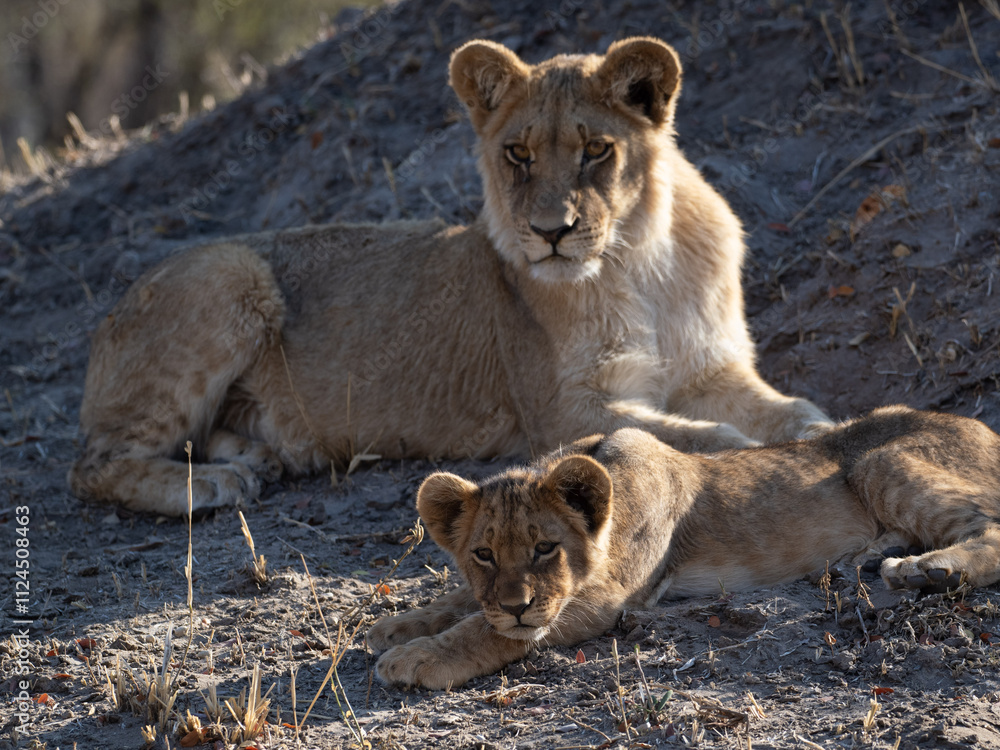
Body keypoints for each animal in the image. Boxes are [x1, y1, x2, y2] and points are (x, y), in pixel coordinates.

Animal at [69, 36, 830, 516]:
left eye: (595, 151)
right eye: (518, 153)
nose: (551, 233)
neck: (640, 259)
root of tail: (109, 316)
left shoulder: (711, 369)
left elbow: (788, 410)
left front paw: (818, 430)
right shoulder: (560, 412)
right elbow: (696, 435)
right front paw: (743, 454)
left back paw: (256, 456)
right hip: (228, 271)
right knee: (92, 464)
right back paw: (216, 486)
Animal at [368, 406, 1000, 689]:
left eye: (546, 548)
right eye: (484, 555)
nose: (516, 605)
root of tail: (986, 428)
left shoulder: (601, 599)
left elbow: (484, 630)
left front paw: (417, 657)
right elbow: (460, 603)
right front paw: (399, 626)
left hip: (879, 460)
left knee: (989, 525)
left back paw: (925, 571)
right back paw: (866, 558)